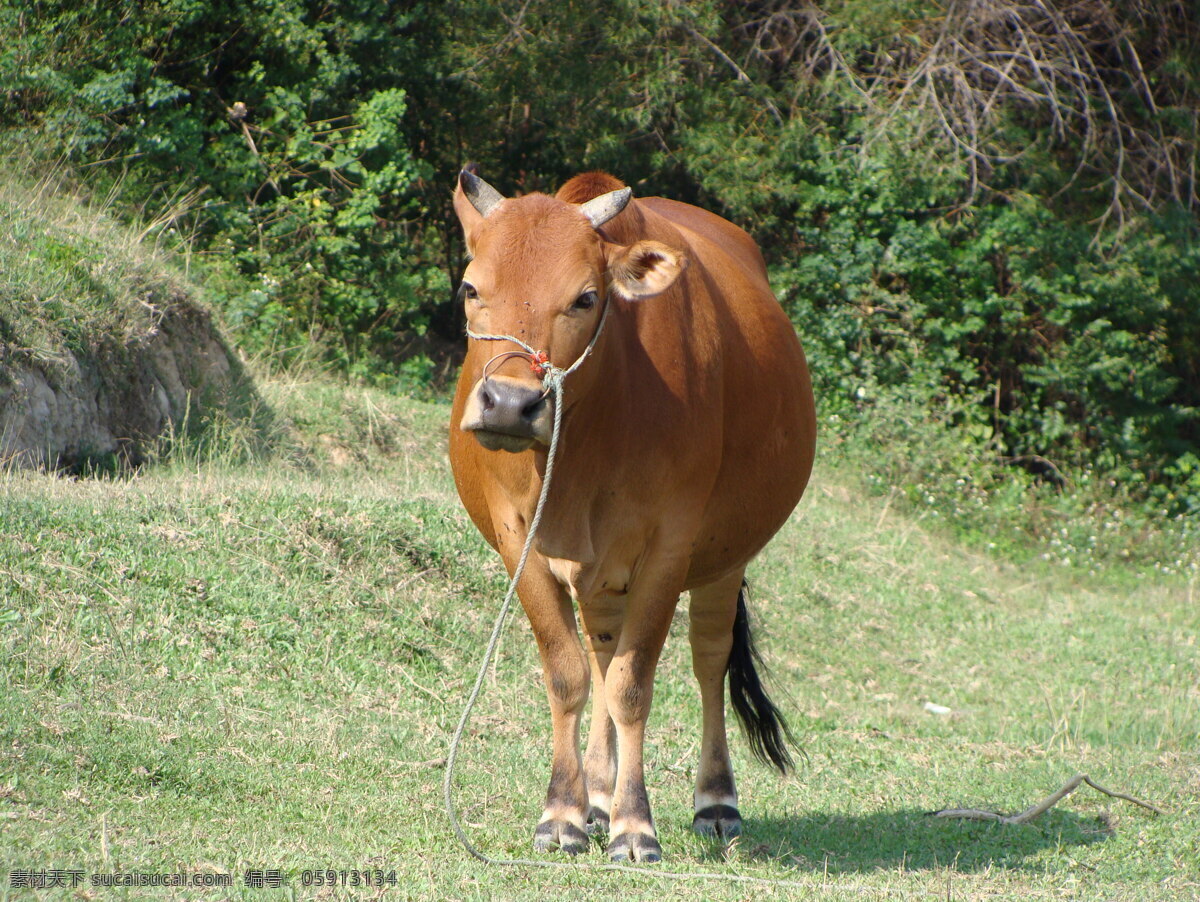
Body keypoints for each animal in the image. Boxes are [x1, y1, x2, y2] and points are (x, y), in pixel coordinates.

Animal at [448, 165, 816, 863]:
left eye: (586, 298)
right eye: (471, 287)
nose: (509, 404)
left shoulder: (669, 550)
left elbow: (633, 684)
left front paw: (635, 825)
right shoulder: (519, 543)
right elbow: (568, 673)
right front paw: (564, 813)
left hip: (726, 560)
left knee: (707, 657)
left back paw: (714, 801)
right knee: (599, 651)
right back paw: (596, 794)